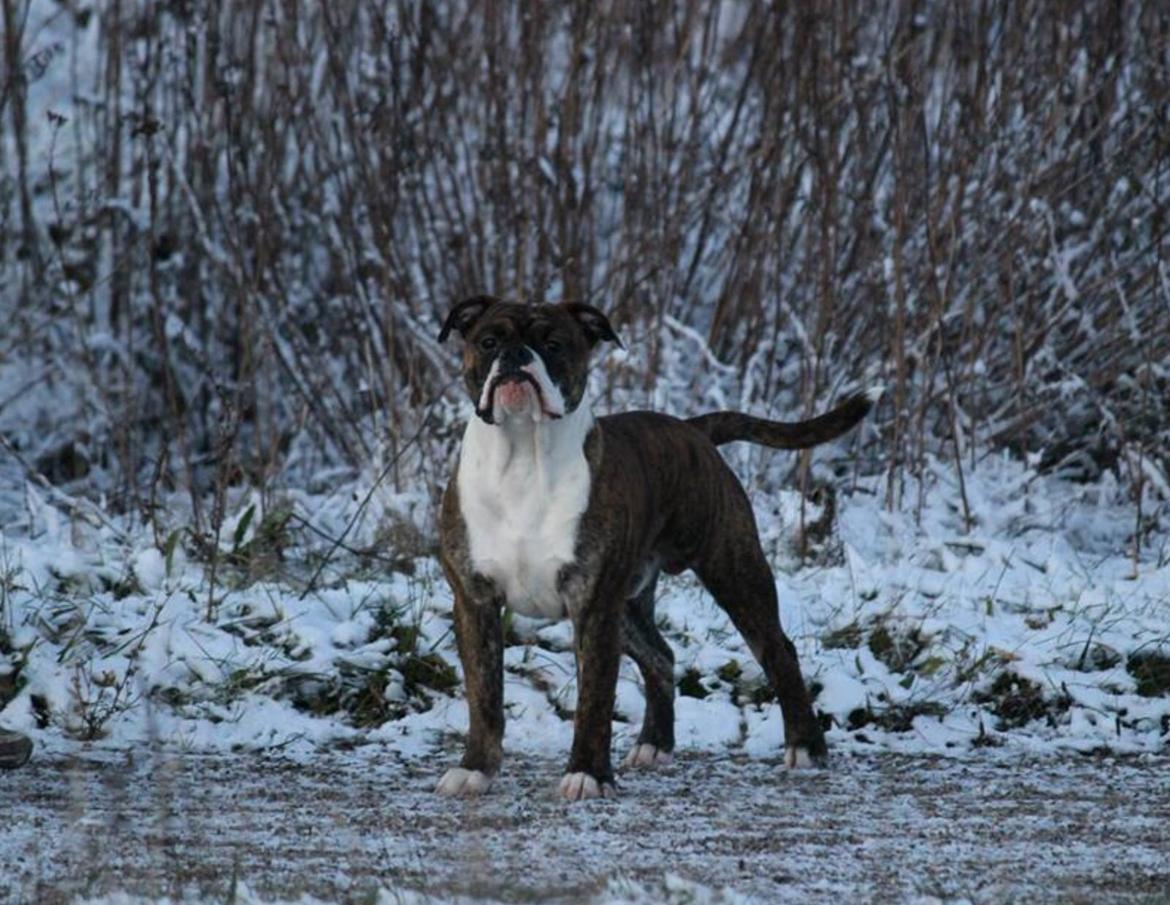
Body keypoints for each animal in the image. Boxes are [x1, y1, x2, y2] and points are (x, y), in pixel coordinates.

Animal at [435, 295, 875, 799]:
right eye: (488, 341)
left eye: (554, 344)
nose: (515, 356)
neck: (524, 455)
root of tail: (692, 429)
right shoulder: (476, 604)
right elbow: (484, 697)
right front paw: (475, 769)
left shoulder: (593, 607)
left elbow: (594, 701)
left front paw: (587, 774)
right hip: (629, 606)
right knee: (660, 657)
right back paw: (654, 744)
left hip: (734, 572)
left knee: (778, 651)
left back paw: (805, 746)